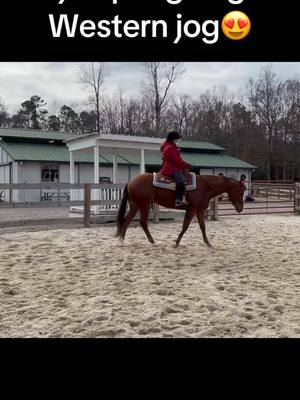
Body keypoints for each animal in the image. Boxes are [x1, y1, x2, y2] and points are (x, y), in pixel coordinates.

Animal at [116, 174, 245, 247]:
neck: (205, 186)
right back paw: (152, 241)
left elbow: (202, 226)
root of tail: (131, 181)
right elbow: (185, 226)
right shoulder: (192, 209)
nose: (241, 208)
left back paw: (122, 240)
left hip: (135, 205)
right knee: (142, 222)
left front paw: (208, 243)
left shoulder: (199, 210)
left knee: (127, 221)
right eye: (241, 191)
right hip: (144, 205)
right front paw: (177, 242)